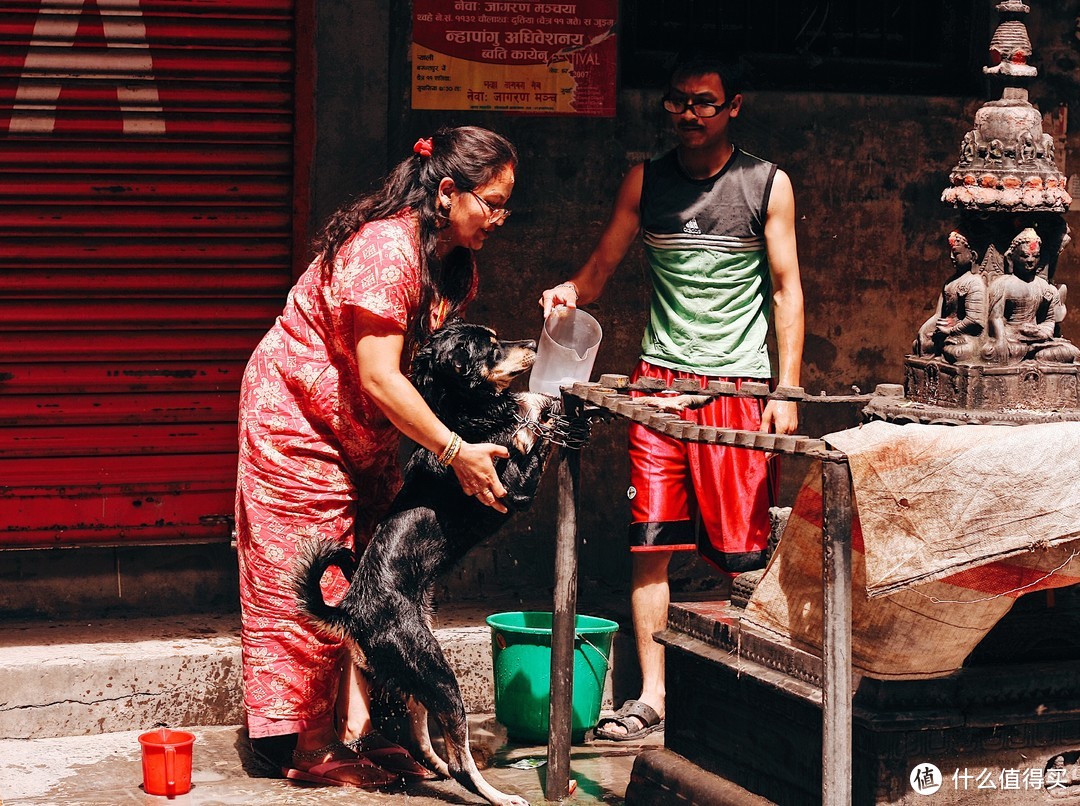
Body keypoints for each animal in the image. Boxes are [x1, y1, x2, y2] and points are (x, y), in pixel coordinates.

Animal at [291, 319, 570, 803]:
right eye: (492, 348)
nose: (534, 341)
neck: (464, 413)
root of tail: (351, 612)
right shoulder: (513, 490)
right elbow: (534, 438)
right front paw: (545, 414)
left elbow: (528, 407)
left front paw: (538, 404)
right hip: (437, 674)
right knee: (461, 761)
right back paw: (495, 793)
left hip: (416, 678)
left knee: (423, 738)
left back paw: (433, 766)